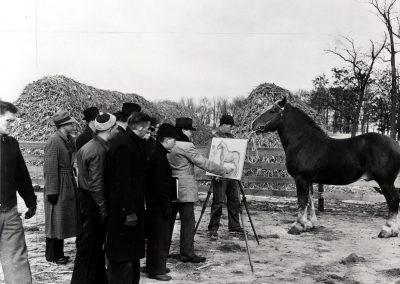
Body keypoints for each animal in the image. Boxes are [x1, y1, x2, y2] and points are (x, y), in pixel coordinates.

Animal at [252, 97, 398, 237]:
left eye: (272, 111)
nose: (253, 125)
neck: (303, 142)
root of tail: (396, 143)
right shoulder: (308, 180)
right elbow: (310, 201)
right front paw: (309, 225)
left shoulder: (301, 178)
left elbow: (302, 201)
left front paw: (297, 226)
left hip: (386, 182)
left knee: (393, 202)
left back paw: (386, 231)